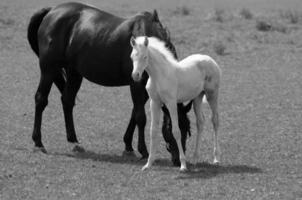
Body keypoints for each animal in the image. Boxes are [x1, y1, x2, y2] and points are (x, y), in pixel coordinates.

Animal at [27, 1, 192, 166]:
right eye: (172, 129)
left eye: (187, 130)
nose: (178, 160)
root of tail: (51, 11)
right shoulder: (136, 84)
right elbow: (140, 117)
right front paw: (144, 151)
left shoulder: (145, 89)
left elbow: (134, 114)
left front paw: (128, 146)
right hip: (49, 69)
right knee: (41, 99)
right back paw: (38, 143)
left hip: (74, 72)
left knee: (67, 101)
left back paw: (74, 142)